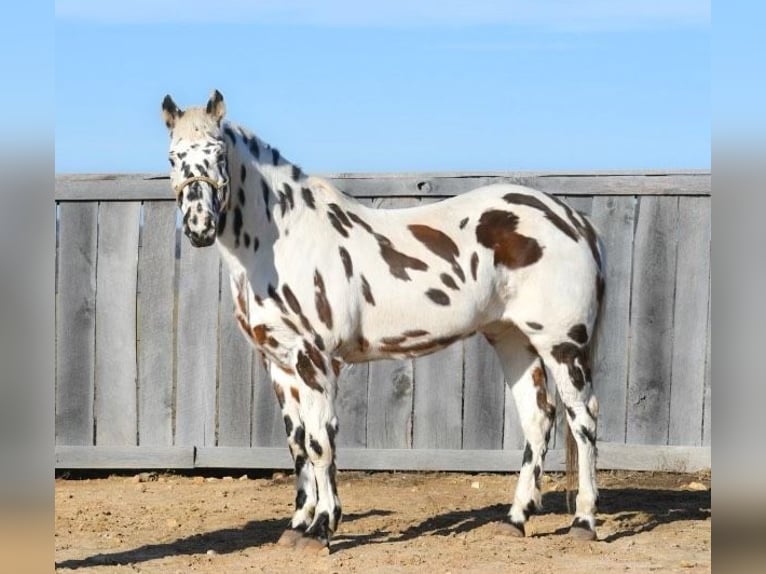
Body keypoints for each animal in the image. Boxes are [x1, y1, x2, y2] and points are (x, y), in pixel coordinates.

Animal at [160, 90, 608, 552]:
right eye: (174, 156)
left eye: (217, 152)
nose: (199, 226)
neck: (281, 240)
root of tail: (575, 221)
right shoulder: (280, 363)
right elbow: (298, 444)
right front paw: (298, 525)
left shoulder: (313, 358)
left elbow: (320, 442)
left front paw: (322, 528)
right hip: (513, 339)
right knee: (539, 419)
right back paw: (515, 519)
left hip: (562, 343)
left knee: (583, 418)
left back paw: (583, 522)